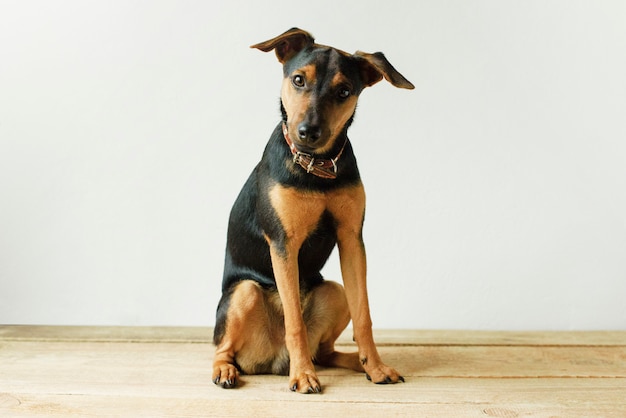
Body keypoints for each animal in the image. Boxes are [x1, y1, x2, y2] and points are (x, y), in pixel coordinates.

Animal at [212, 27, 412, 394]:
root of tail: (273, 361)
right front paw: (303, 376)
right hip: (243, 292)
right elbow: (294, 321)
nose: (308, 132)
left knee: (326, 350)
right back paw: (228, 370)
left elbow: (364, 316)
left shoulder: (352, 239)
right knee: (223, 347)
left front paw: (376, 366)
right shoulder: (283, 243)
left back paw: (356, 362)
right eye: (298, 79)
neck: (316, 167)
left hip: (335, 292)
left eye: (344, 91)